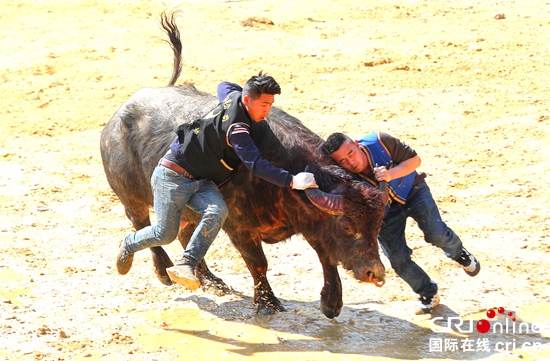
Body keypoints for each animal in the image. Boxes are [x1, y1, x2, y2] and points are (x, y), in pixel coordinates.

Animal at [100, 9, 388, 316]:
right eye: (347, 226)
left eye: (377, 226)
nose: (375, 272)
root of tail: (117, 119)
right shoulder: (239, 228)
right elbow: (258, 262)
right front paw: (267, 302)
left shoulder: (312, 224)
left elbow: (327, 256)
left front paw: (332, 301)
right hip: (133, 197)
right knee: (147, 228)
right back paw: (161, 270)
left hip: (185, 208)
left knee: (183, 233)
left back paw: (208, 279)